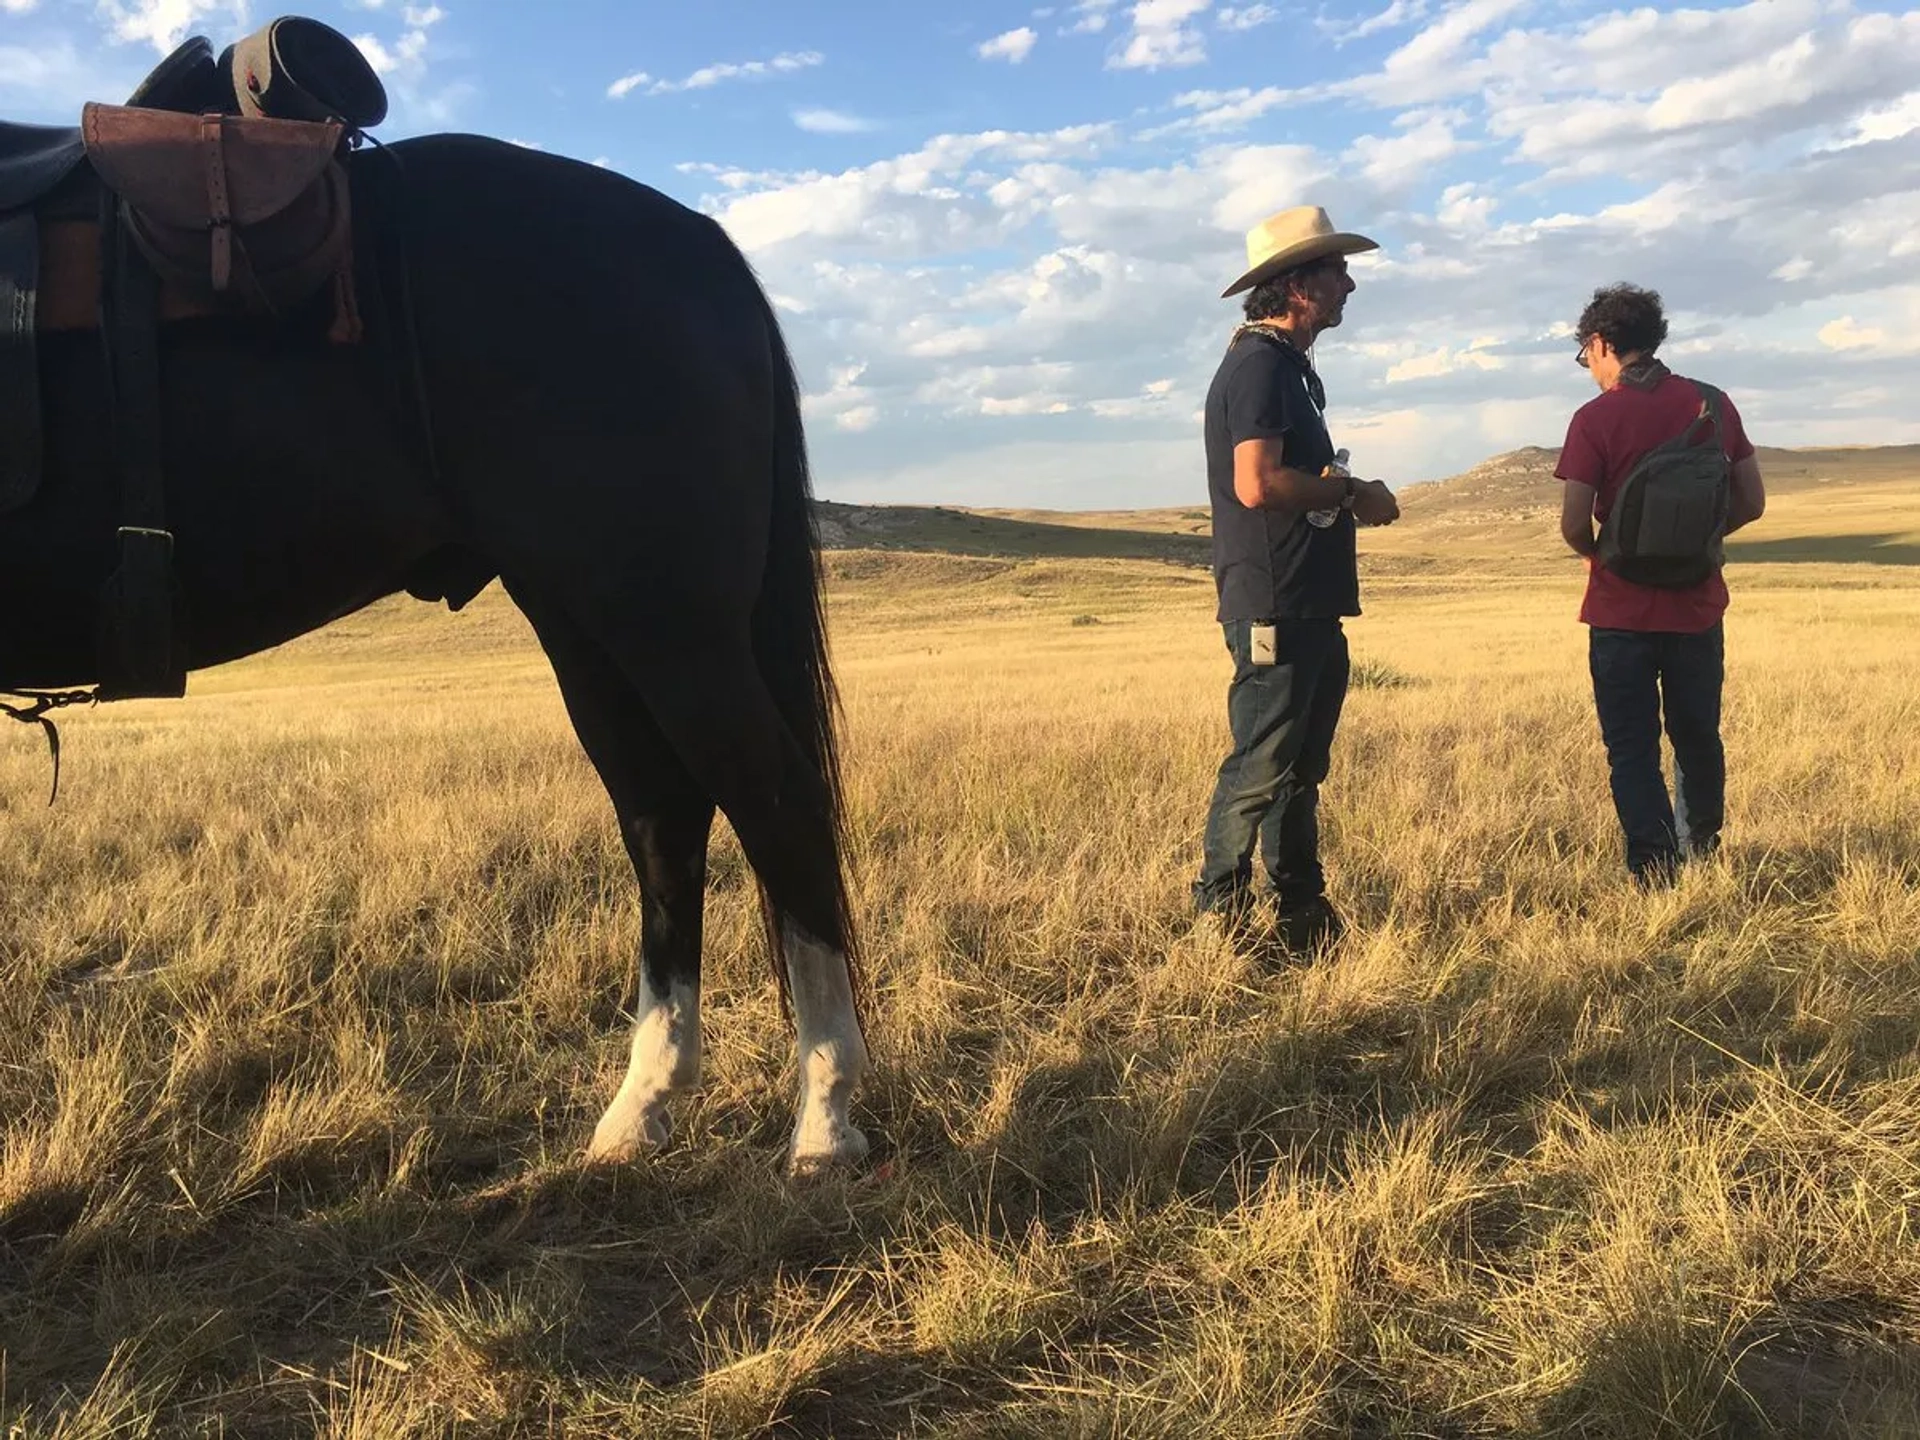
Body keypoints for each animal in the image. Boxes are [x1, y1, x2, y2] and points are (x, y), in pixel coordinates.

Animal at [0, 123, 879, 1175]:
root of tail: (701, 240)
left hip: (672, 629)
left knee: (776, 803)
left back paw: (825, 1115)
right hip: (587, 628)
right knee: (664, 821)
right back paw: (644, 1105)